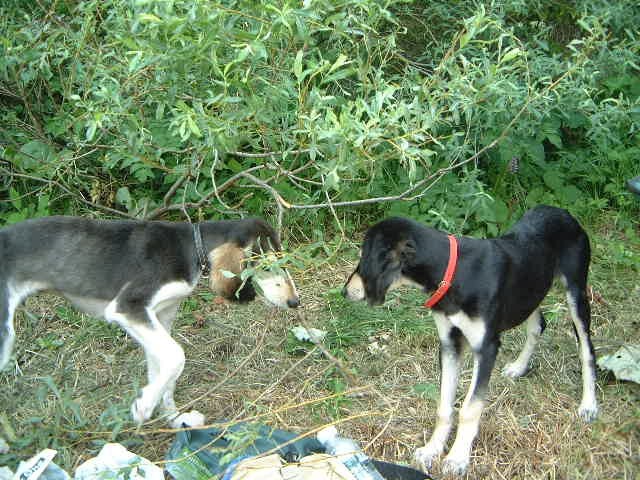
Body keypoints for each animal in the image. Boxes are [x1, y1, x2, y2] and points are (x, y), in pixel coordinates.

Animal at [0, 216, 300, 434]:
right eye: (269, 264)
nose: (295, 301)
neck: (191, 247)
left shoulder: (159, 319)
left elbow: (164, 373)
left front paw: (175, 419)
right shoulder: (129, 308)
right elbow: (177, 357)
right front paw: (143, 407)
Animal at [342, 206, 596, 476]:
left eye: (364, 258)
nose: (344, 292)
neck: (455, 272)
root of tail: (563, 212)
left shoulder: (486, 348)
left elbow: (470, 409)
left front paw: (457, 458)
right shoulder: (449, 344)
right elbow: (444, 406)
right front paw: (432, 450)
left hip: (576, 292)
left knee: (587, 350)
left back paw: (589, 404)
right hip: (530, 292)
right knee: (538, 324)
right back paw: (519, 366)